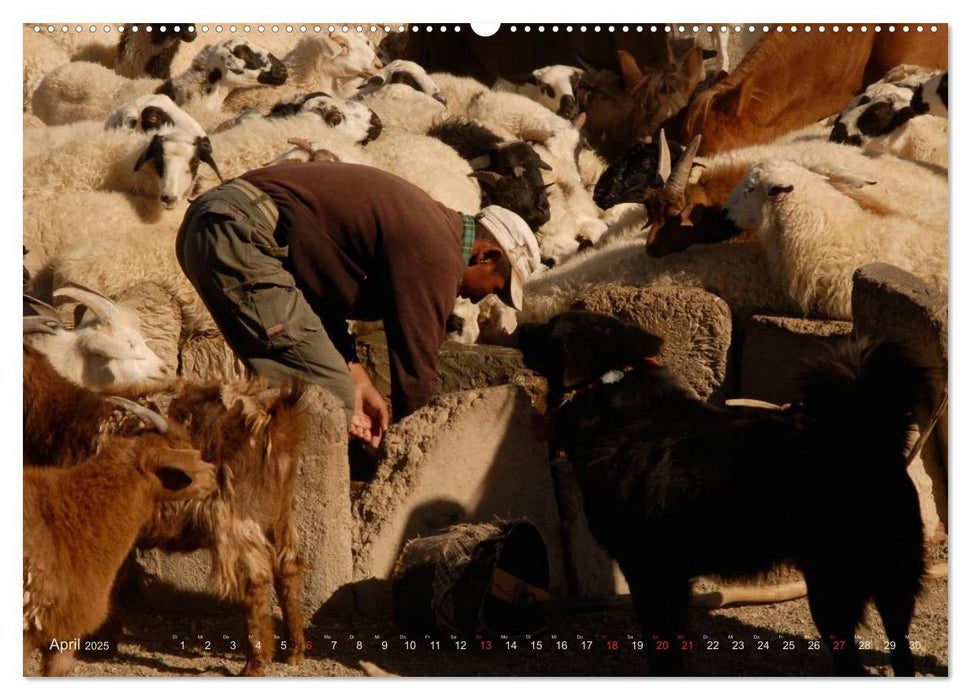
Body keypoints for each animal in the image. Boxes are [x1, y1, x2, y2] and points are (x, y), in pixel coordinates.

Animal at [520, 310, 932, 672]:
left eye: (547, 327)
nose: (521, 325)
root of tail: (868, 438)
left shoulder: (645, 569)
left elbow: (658, 643)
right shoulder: (672, 577)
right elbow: (674, 645)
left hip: (833, 586)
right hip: (891, 586)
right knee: (901, 656)